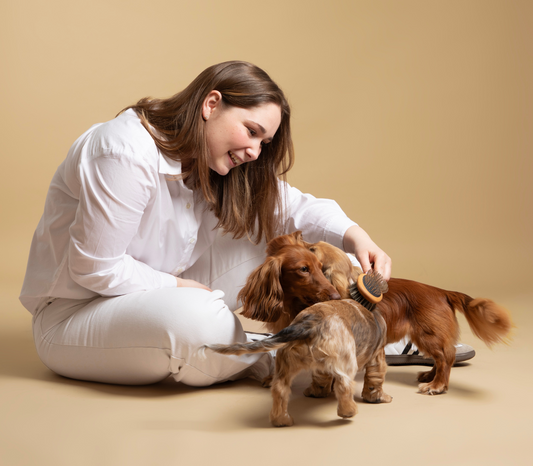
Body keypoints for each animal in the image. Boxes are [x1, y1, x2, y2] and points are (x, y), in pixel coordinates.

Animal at [204, 298, 390, 426]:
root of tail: (308, 323)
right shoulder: (377, 355)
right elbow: (375, 378)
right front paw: (378, 397)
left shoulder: (321, 366)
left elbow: (321, 379)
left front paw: (316, 392)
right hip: (345, 361)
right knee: (344, 385)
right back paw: (348, 411)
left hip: (287, 359)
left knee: (280, 389)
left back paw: (281, 420)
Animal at [302, 238, 512, 396]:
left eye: (312, 250)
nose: (299, 238)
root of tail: (442, 292)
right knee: (444, 357)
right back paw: (430, 377)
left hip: (427, 335)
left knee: (445, 358)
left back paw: (436, 385)